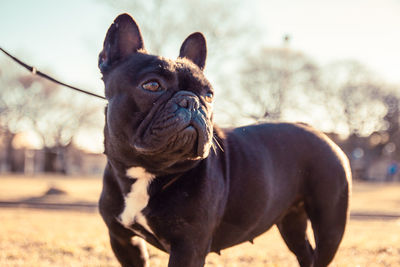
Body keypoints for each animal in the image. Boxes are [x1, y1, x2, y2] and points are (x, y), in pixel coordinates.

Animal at [98, 13, 352, 266]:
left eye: (209, 95)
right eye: (152, 85)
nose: (192, 101)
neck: (148, 170)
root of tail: (320, 133)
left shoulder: (189, 246)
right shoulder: (123, 240)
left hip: (330, 225)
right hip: (292, 221)